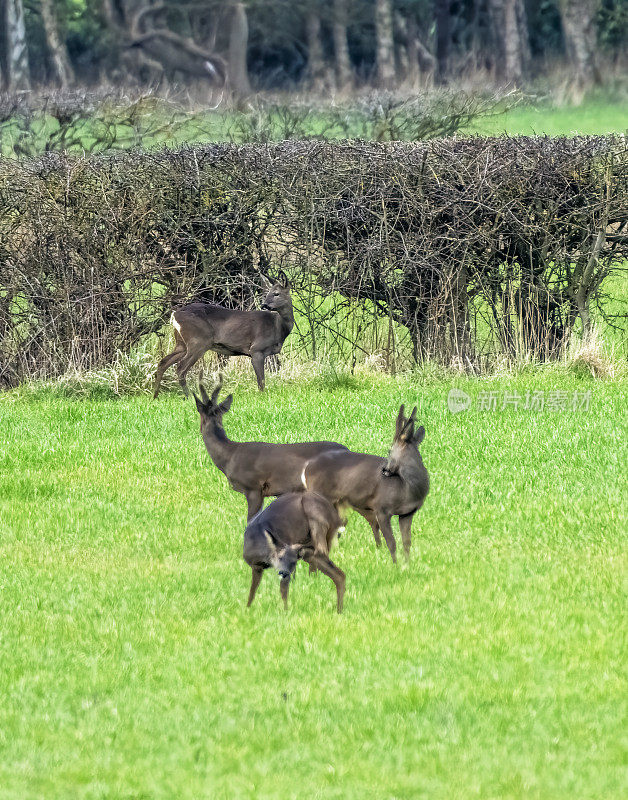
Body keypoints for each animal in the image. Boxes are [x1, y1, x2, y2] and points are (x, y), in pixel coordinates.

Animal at [156, 272, 296, 396]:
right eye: (269, 293)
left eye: (276, 293)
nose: (264, 305)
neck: (277, 327)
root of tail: (175, 315)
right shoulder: (256, 349)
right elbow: (261, 381)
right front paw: (262, 396)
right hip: (198, 341)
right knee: (180, 368)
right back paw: (188, 396)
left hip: (181, 343)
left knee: (163, 362)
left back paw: (155, 396)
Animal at [302, 406, 430, 564]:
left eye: (389, 450)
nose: (384, 470)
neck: (407, 489)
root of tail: (307, 468)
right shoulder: (381, 508)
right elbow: (391, 542)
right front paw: (395, 565)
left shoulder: (407, 513)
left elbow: (406, 542)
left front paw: (407, 564)